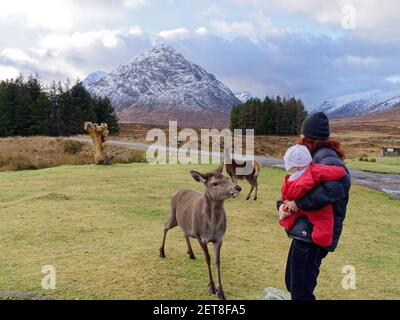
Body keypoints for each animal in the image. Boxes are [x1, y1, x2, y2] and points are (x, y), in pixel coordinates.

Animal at [159, 165, 241, 300]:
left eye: (227, 178)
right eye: (215, 183)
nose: (238, 187)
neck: (212, 228)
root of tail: (177, 192)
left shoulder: (220, 238)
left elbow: (217, 261)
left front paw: (221, 292)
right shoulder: (200, 236)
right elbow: (207, 258)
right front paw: (211, 287)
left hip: (184, 222)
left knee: (184, 232)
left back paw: (191, 253)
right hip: (173, 216)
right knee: (165, 226)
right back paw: (162, 252)